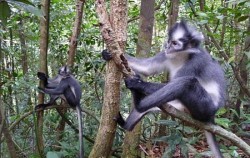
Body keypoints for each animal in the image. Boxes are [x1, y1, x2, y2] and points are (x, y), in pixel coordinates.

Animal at [101, 20, 227, 157]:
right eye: (169, 42)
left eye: (175, 43)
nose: (167, 47)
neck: (181, 56)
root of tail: (212, 115)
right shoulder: (166, 55)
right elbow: (147, 68)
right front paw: (109, 54)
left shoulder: (196, 61)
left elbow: (175, 80)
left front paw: (138, 84)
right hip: (180, 106)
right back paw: (127, 124)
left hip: (205, 107)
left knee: (186, 82)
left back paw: (138, 101)